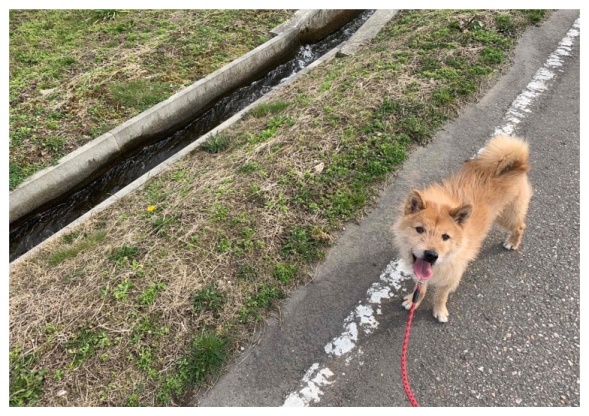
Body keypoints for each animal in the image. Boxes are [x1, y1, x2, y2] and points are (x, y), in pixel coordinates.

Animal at [392, 135, 532, 324]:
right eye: (419, 230)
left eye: (445, 237)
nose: (431, 255)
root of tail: (518, 164)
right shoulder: (423, 272)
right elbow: (420, 288)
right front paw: (413, 300)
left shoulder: (452, 275)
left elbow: (441, 296)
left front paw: (440, 310)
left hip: (507, 217)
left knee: (520, 226)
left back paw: (512, 242)